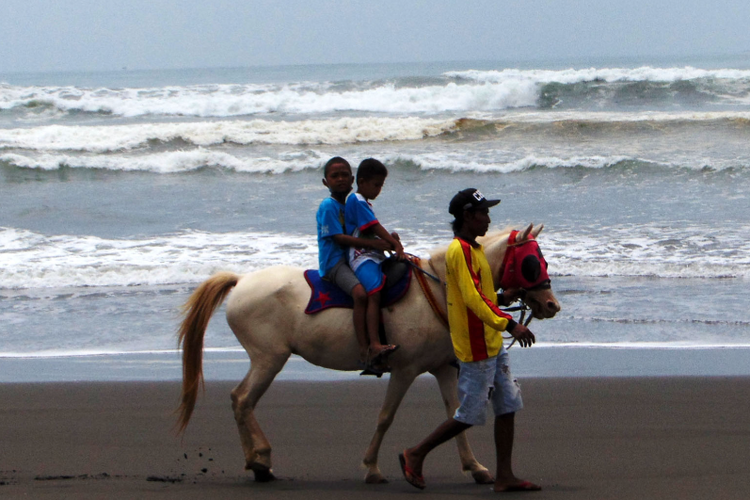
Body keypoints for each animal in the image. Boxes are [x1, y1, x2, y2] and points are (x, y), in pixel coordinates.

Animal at [179, 226, 560, 484]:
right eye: (530, 262)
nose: (551, 304)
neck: (442, 289)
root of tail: (241, 282)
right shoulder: (405, 370)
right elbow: (385, 417)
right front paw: (372, 467)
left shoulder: (443, 369)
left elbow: (456, 415)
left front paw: (475, 467)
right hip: (269, 359)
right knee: (243, 399)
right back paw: (260, 461)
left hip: (266, 360)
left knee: (239, 400)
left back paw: (257, 462)